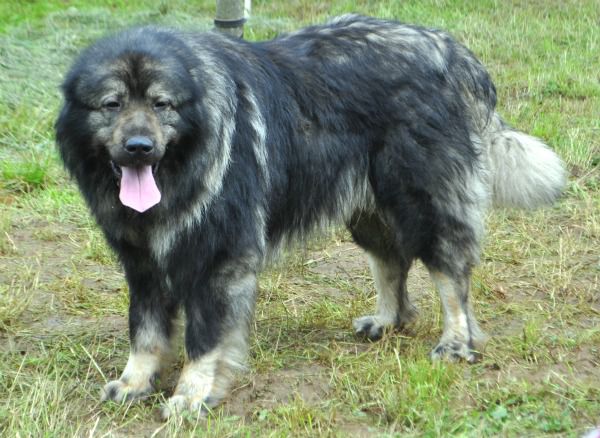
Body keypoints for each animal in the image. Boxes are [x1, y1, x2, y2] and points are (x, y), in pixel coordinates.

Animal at [54, 15, 564, 416]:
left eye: (162, 104)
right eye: (112, 105)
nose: (139, 147)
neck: (186, 162)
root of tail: (453, 53)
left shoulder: (219, 260)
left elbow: (205, 337)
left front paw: (193, 394)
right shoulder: (142, 262)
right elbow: (144, 329)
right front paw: (136, 381)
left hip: (424, 203)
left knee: (450, 275)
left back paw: (457, 341)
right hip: (367, 212)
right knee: (391, 262)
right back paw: (387, 319)